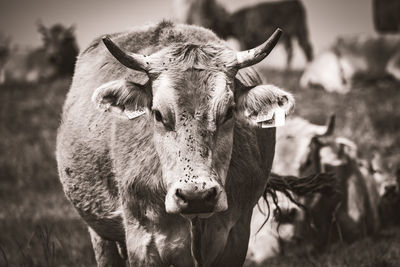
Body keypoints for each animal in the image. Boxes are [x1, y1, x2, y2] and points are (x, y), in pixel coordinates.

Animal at [56, 21, 296, 267]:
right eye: (158, 114)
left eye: (229, 112)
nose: (196, 196)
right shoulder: (143, 241)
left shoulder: (235, 237)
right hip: (100, 234)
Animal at [173, 0, 314, 69]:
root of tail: (296, 3)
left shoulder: (244, 38)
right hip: (293, 35)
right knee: (293, 51)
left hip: (299, 31)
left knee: (305, 49)